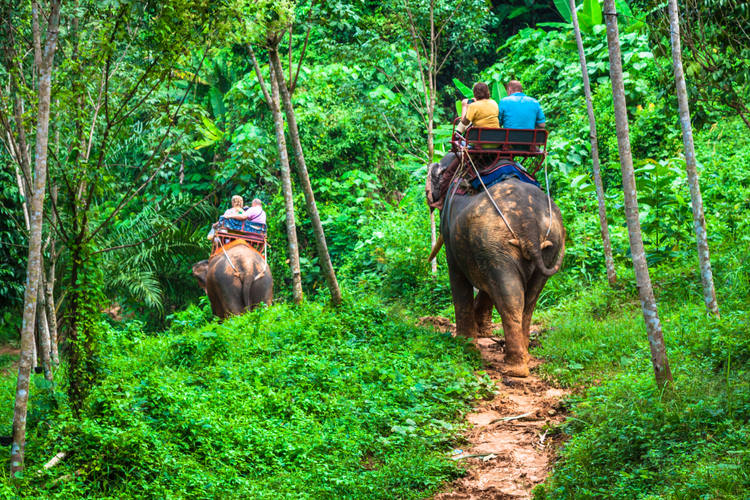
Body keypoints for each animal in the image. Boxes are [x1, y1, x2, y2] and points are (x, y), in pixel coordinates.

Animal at [438, 178, 568, 376]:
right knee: (526, 299)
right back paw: (523, 360)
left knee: (510, 298)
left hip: (494, 242)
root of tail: (528, 219)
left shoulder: (450, 236)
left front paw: (464, 347)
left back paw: (515, 369)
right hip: (546, 244)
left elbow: (458, 277)